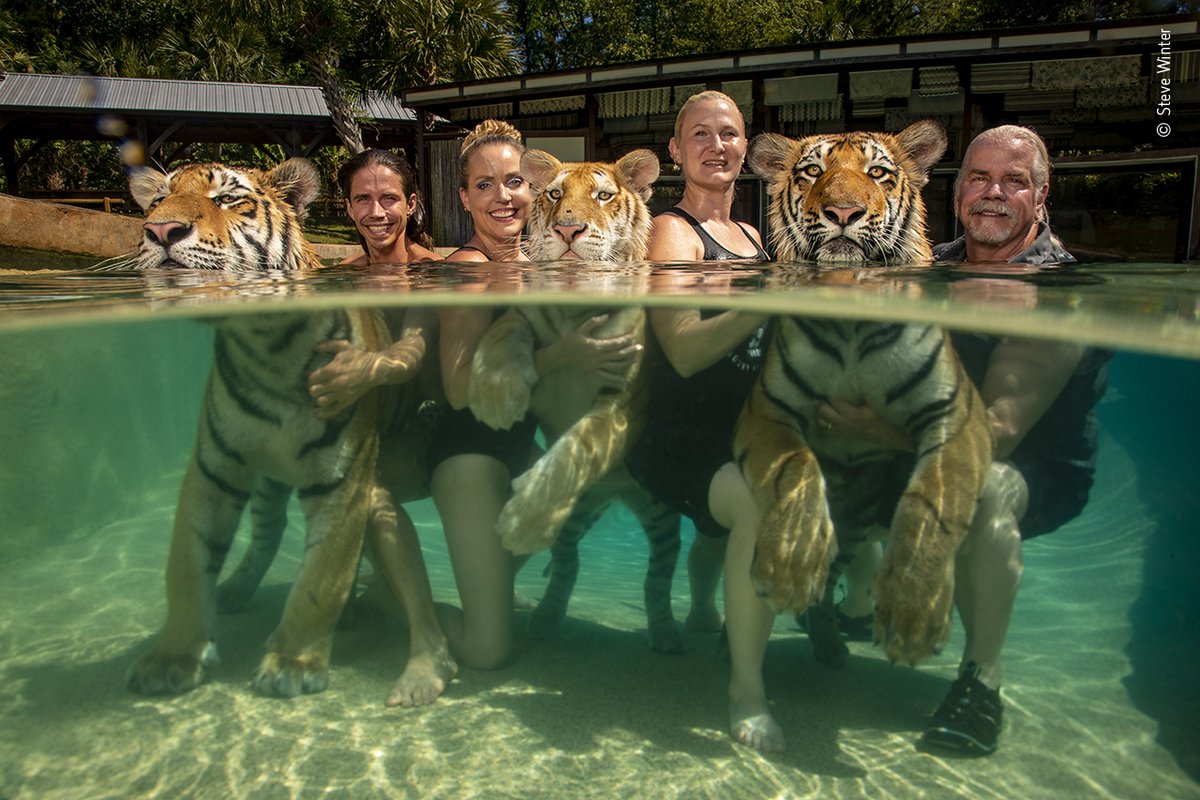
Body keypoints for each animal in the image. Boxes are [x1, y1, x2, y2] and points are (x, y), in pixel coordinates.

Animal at [123, 159, 391, 696]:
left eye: (227, 198)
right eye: (158, 200)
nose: (160, 230)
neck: (270, 345)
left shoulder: (344, 480)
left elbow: (322, 578)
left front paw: (292, 664)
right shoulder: (212, 470)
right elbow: (186, 566)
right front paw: (172, 658)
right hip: (267, 483)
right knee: (270, 530)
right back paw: (234, 591)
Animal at [467, 149, 689, 652]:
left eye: (603, 196)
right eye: (554, 194)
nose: (568, 231)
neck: (575, 310)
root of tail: (615, 494)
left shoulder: (624, 403)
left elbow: (574, 452)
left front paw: (523, 521)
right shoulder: (524, 315)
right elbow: (505, 329)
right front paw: (495, 392)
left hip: (661, 517)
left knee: (658, 577)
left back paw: (668, 633)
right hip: (578, 518)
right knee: (568, 563)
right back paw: (547, 617)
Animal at [736, 119, 994, 666]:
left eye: (878, 172)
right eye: (812, 170)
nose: (843, 213)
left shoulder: (959, 415)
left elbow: (933, 499)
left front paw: (914, 610)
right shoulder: (769, 410)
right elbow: (795, 469)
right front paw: (790, 566)